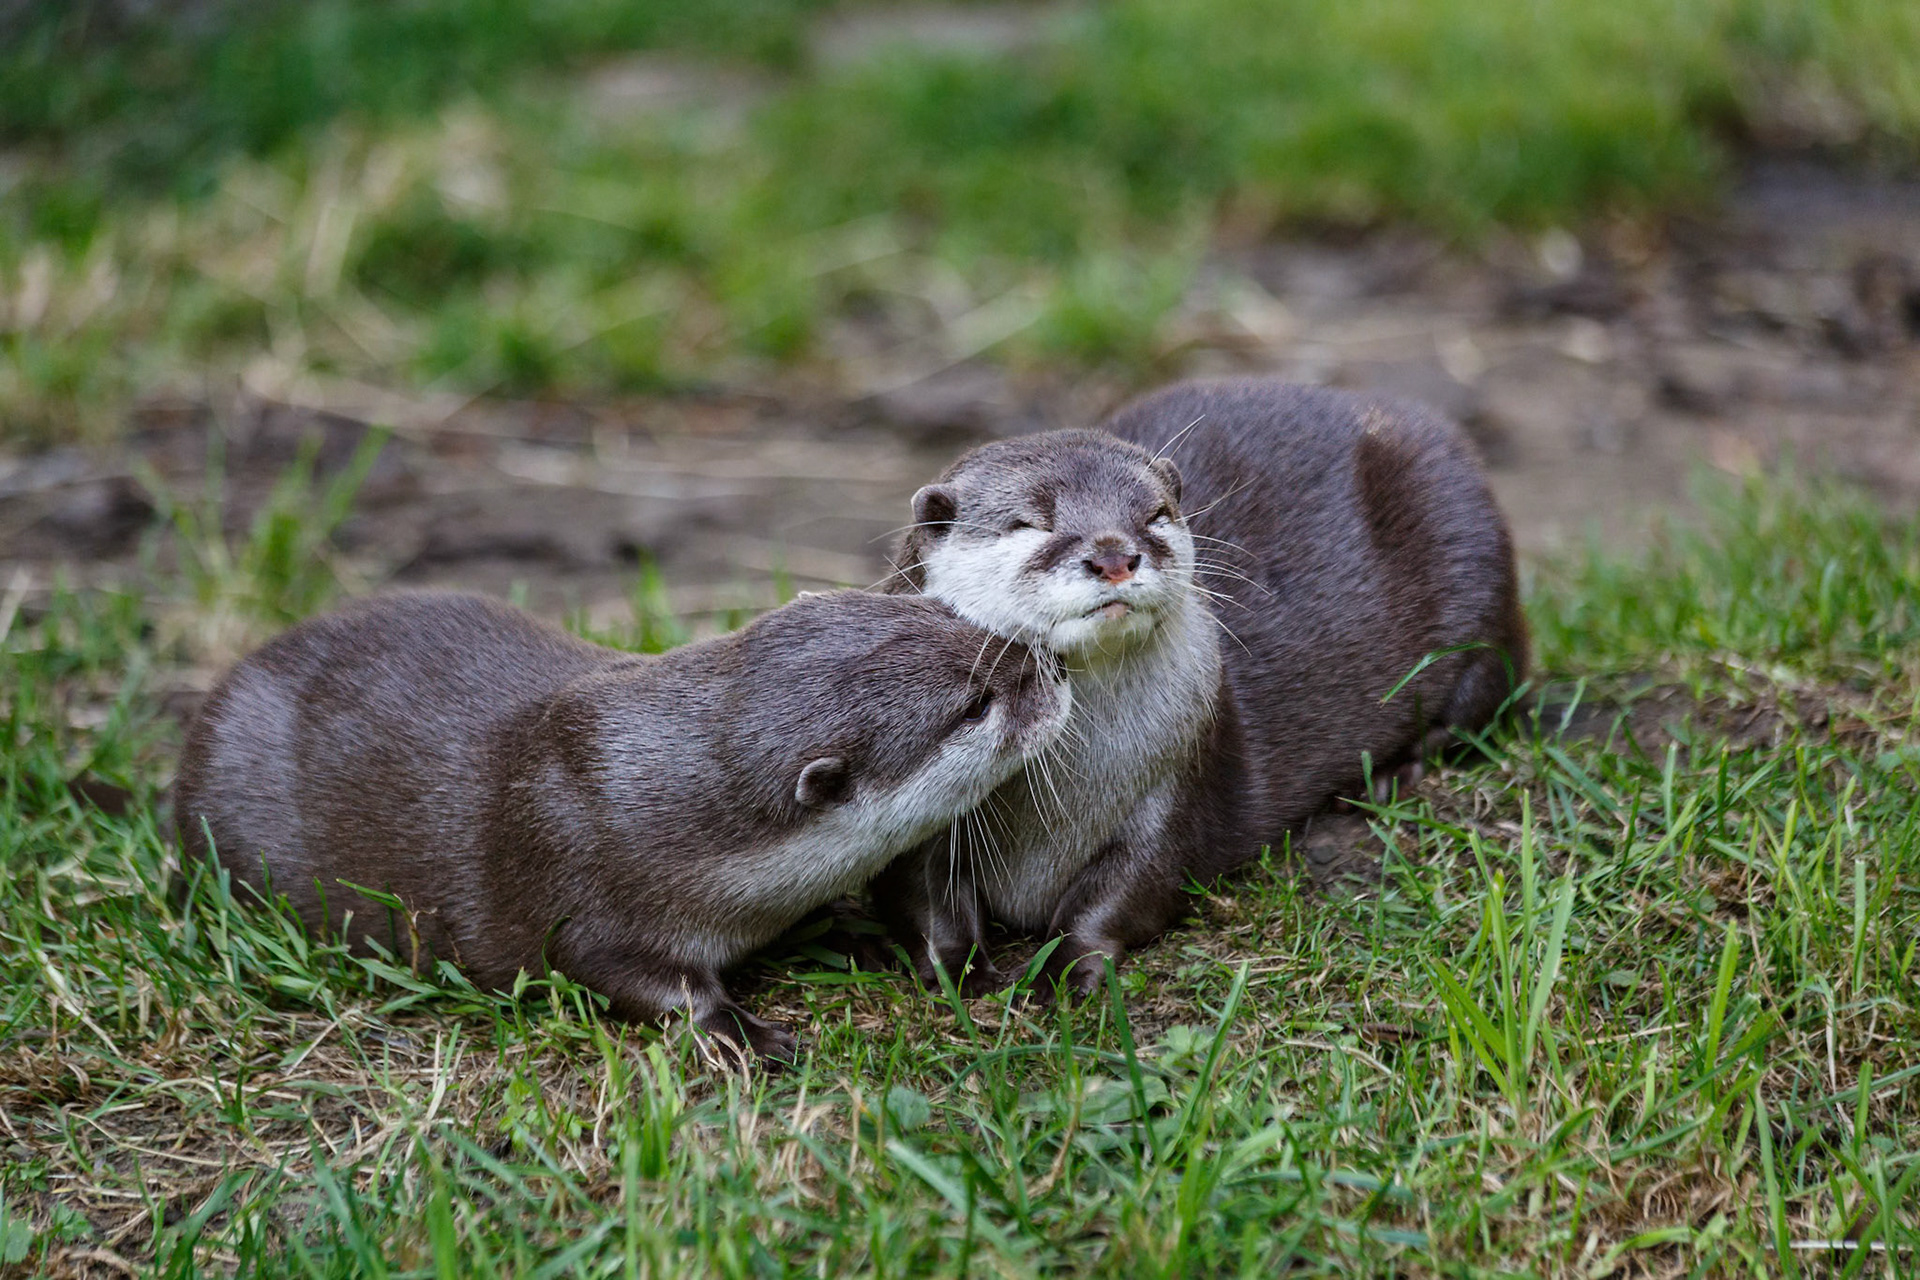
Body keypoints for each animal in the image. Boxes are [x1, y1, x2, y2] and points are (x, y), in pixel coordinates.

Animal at [174, 589, 1070, 1057]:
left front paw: (860, 934)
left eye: (955, 616)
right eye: (976, 703)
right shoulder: (576, 882)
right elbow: (626, 976)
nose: (1052, 668)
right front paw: (739, 1030)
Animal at [874, 378, 1526, 995]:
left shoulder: (1177, 782)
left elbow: (1130, 889)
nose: (1115, 556)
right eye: (1030, 523)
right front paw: (957, 970)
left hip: (1479, 574)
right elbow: (921, 894)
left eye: (1154, 515)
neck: (1057, 802)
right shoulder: (914, 798)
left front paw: (1068, 968)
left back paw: (1389, 774)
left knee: (1482, 697)